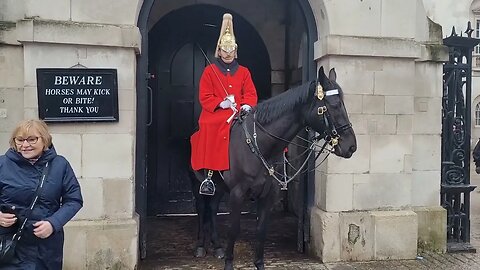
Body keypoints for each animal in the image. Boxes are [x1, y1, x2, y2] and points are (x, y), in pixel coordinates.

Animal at [190, 66, 356, 270]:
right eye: (332, 105)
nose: (351, 146)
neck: (260, 145)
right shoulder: (237, 193)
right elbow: (233, 230)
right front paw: (229, 263)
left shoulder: (268, 194)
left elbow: (261, 230)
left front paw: (258, 263)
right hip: (197, 184)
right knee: (201, 208)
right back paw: (200, 246)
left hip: (220, 188)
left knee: (212, 209)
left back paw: (217, 247)